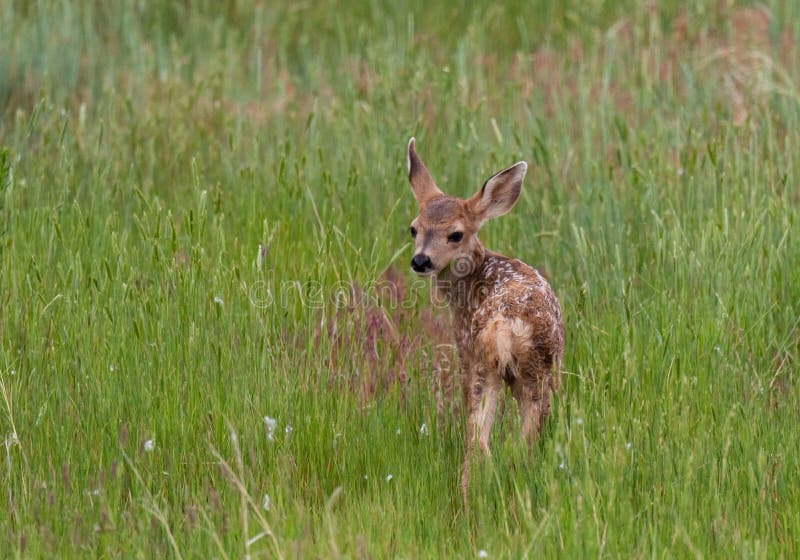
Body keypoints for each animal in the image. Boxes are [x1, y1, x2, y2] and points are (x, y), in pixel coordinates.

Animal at [406, 137, 564, 504]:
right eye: (413, 229)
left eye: (456, 234)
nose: (420, 261)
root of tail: (506, 326)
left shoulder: (463, 345)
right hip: (539, 372)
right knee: (527, 440)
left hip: (484, 363)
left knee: (479, 443)